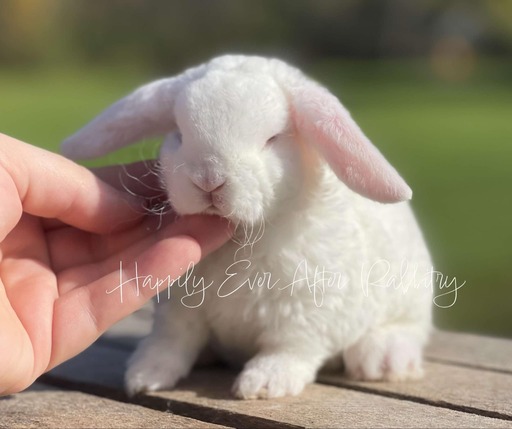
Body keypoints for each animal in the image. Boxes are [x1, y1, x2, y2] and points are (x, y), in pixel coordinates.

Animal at [62, 55, 434, 400]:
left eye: (273, 139)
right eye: (179, 135)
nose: (209, 180)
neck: (244, 237)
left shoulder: (307, 312)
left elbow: (288, 349)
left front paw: (264, 384)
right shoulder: (180, 308)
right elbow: (172, 340)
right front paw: (143, 376)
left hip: (409, 296)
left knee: (408, 330)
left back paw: (383, 360)